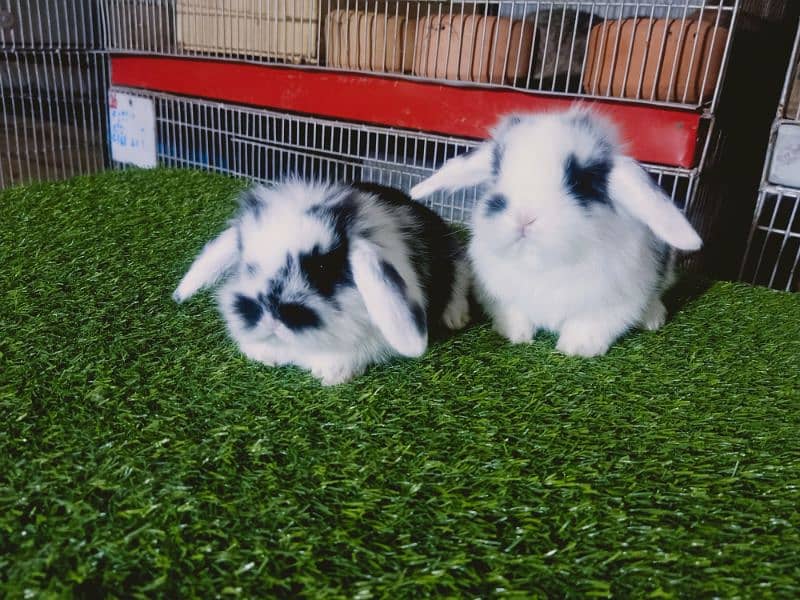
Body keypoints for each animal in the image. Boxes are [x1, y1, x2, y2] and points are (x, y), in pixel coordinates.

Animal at [170, 180, 468, 384]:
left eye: (323, 268)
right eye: (248, 266)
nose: (271, 319)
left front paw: (330, 373)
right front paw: (263, 356)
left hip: (455, 260)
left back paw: (456, 318)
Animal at [410, 107, 704, 356]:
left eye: (579, 181)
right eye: (496, 172)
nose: (524, 217)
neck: (541, 262)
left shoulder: (610, 301)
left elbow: (589, 323)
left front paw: (576, 348)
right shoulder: (502, 293)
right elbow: (515, 313)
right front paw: (515, 334)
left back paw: (653, 319)